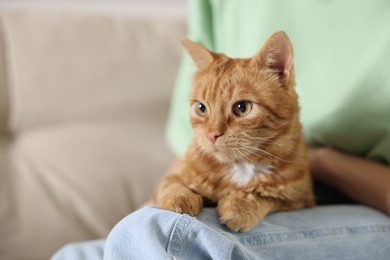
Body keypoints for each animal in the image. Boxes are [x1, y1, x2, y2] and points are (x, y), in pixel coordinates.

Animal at [155, 31, 314, 232]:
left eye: (242, 107)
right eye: (201, 108)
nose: (212, 135)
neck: (240, 166)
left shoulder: (301, 201)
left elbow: (267, 198)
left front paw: (241, 206)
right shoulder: (172, 177)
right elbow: (172, 185)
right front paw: (181, 199)